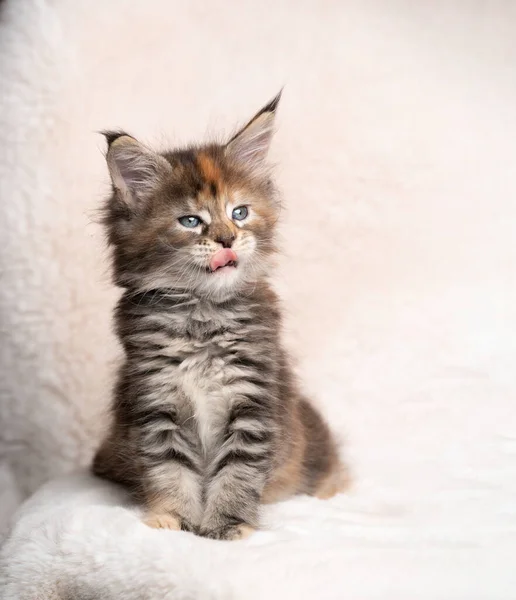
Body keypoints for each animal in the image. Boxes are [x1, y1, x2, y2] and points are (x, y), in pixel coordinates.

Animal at [92, 94, 346, 540]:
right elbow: (170, 468)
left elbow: (238, 472)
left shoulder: (253, 400)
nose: (227, 238)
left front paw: (228, 525)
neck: (203, 313)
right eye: (191, 221)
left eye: (240, 212)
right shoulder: (156, 400)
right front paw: (173, 518)